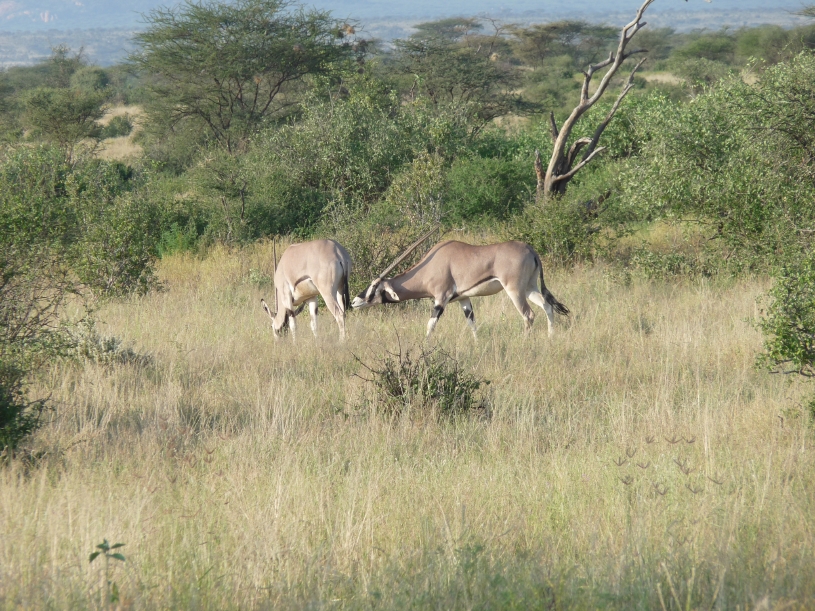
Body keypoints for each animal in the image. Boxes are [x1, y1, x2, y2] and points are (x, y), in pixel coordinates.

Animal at [351, 230, 569, 337]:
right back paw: (551, 337)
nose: (354, 301)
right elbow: (472, 324)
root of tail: (531, 250)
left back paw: (526, 342)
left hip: (515, 290)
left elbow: (430, 325)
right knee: (547, 306)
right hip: (530, 287)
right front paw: (477, 344)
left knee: (528, 314)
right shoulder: (463, 299)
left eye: (374, 286)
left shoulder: (441, 298)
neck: (430, 265)